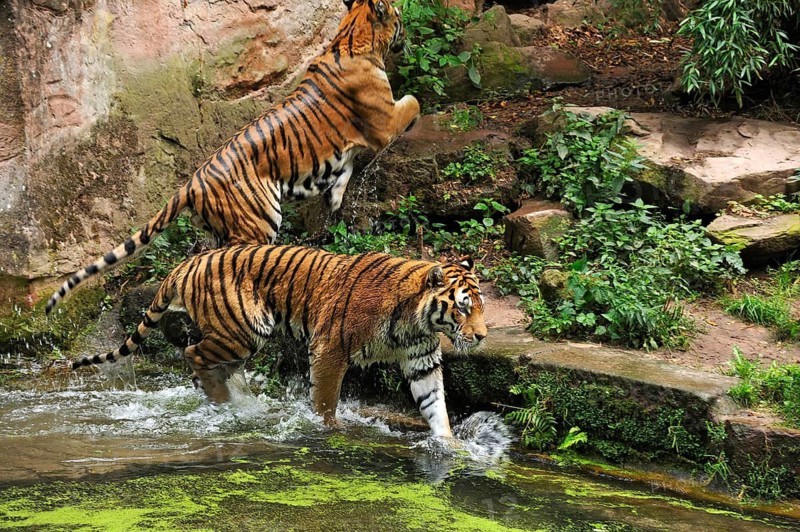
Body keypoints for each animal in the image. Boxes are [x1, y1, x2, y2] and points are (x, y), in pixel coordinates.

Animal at [46, 0, 420, 315]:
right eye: (399, 15)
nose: (407, 36)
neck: (350, 37)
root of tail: (190, 183)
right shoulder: (385, 122)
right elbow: (413, 101)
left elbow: (346, 168)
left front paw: (336, 196)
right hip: (259, 222)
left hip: (218, 229)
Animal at [72, 245, 488, 438]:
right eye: (463, 308)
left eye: (481, 306)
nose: (483, 336)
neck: (414, 321)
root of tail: (187, 262)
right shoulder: (329, 349)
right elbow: (325, 399)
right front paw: (330, 429)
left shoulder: (422, 361)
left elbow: (435, 406)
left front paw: (450, 445)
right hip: (244, 330)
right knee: (192, 353)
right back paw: (224, 403)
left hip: (239, 338)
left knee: (208, 365)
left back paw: (228, 401)